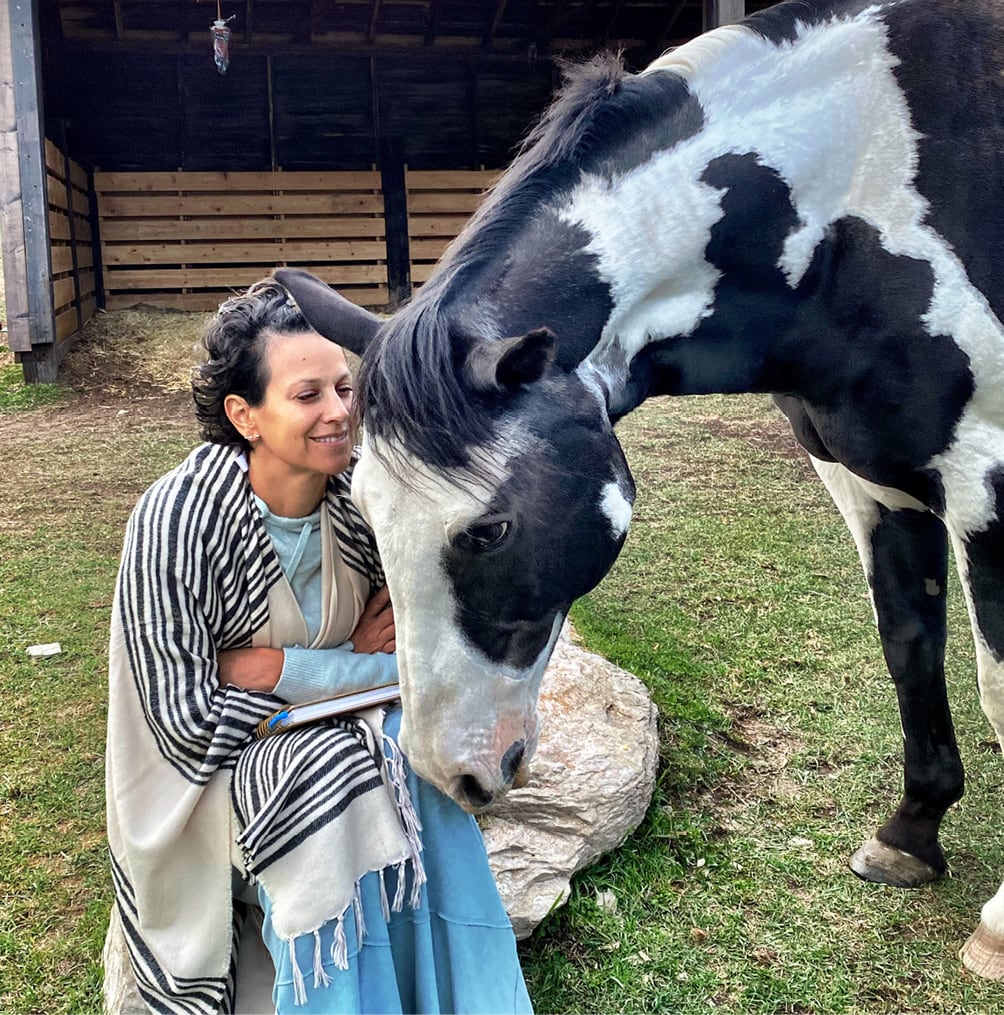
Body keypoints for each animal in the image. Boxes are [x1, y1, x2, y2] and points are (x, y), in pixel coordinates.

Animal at [270, 0, 1002, 974]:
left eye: (489, 530)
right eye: (365, 510)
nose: (452, 771)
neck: (863, 184)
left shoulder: (987, 484)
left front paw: (997, 925)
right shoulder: (871, 484)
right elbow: (910, 647)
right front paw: (911, 833)